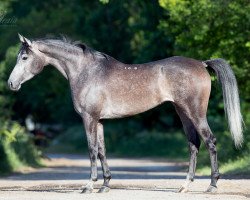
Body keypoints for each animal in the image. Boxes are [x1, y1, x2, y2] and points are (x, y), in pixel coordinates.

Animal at [7, 34, 242, 194]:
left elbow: (91, 150)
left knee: (210, 141)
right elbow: (102, 150)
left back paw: (212, 185)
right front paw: (105, 184)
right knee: (193, 144)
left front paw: (89, 185)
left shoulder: (89, 118)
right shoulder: (99, 120)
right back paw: (184, 185)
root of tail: (202, 63)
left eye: (25, 57)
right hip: (182, 111)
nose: (11, 83)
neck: (86, 71)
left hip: (195, 111)